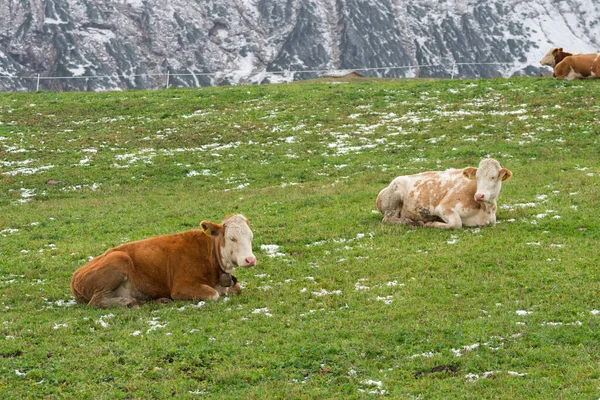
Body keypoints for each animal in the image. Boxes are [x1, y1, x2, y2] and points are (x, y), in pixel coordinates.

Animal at [71, 214, 256, 308]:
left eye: (251, 236)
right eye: (232, 238)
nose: (250, 259)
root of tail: (75, 275)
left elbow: (237, 288)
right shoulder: (181, 287)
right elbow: (214, 294)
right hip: (118, 259)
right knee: (96, 301)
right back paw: (129, 302)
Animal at [376, 159, 510, 230]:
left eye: (493, 177)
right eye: (476, 177)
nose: (479, 196)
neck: (484, 210)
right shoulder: (443, 207)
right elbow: (456, 223)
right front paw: (431, 223)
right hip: (394, 199)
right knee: (388, 219)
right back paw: (411, 221)